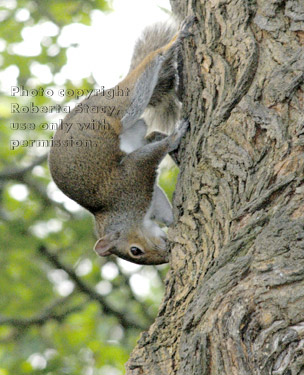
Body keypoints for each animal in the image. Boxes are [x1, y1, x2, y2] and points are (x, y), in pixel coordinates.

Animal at [48, 16, 194, 264]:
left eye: (134, 250)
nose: (165, 257)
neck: (117, 211)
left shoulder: (131, 177)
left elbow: (145, 159)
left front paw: (174, 138)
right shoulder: (147, 197)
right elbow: (161, 205)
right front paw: (173, 220)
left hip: (122, 107)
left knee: (145, 74)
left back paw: (172, 44)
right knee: (150, 135)